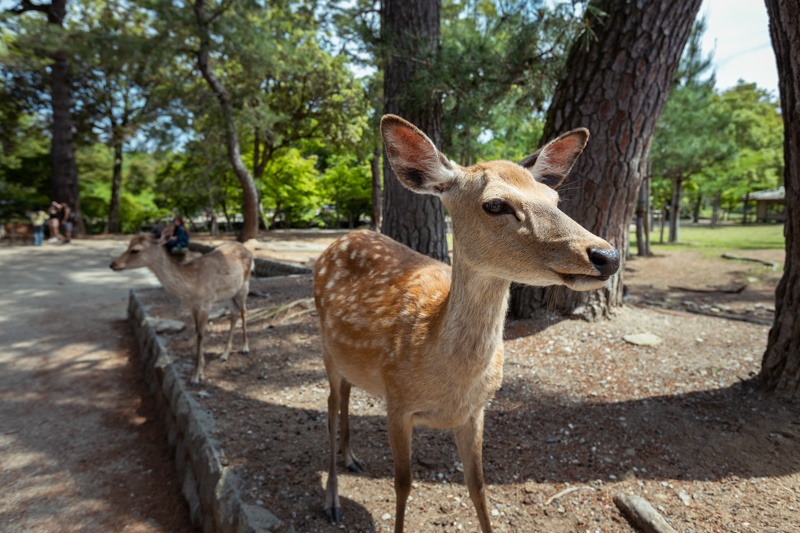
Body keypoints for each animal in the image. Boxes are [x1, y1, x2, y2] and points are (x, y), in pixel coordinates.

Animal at [110, 227, 253, 384]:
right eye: (129, 244)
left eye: (135, 250)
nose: (113, 264)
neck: (191, 286)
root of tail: (248, 249)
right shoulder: (193, 305)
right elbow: (196, 332)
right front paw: (200, 371)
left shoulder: (206, 302)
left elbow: (201, 335)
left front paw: (195, 377)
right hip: (227, 294)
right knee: (234, 312)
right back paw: (224, 355)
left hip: (244, 284)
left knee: (244, 311)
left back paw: (245, 348)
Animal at [312, 114, 620, 528]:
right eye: (495, 204)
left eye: (555, 200)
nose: (607, 255)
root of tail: (337, 241)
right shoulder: (397, 402)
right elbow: (402, 484)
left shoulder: (476, 411)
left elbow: (479, 488)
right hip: (325, 348)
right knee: (330, 408)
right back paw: (332, 501)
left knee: (345, 393)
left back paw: (351, 458)